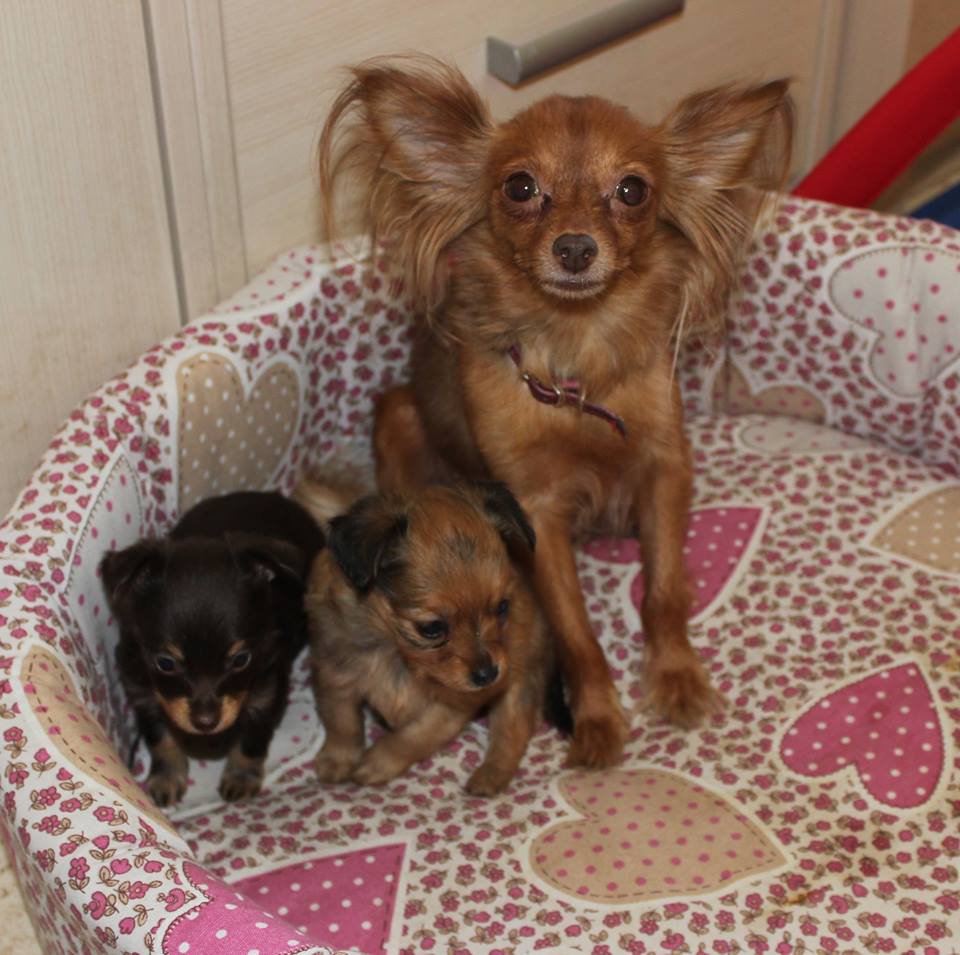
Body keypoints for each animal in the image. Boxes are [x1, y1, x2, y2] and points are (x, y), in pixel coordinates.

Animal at [100, 491, 324, 806]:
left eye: (241, 659)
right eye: (165, 663)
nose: (205, 723)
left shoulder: (268, 691)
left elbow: (251, 741)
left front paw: (241, 778)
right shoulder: (140, 689)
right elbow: (160, 737)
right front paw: (167, 777)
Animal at [300, 478, 564, 796]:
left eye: (502, 607)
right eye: (431, 628)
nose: (488, 675)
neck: (395, 653)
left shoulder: (451, 706)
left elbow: (413, 736)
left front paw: (376, 763)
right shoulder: (334, 674)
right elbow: (342, 722)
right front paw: (337, 760)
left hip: (518, 681)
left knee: (512, 730)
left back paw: (490, 776)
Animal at [317, 57, 793, 768]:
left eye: (631, 190)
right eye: (520, 186)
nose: (574, 248)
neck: (577, 363)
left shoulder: (664, 470)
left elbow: (665, 591)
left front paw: (676, 677)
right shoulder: (537, 512)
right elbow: (576, 632)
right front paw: (596, 716)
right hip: (400, 416)